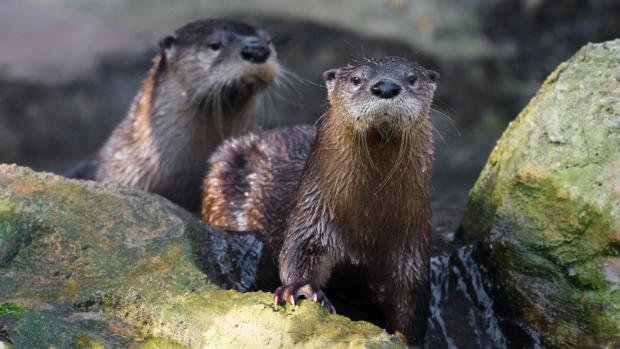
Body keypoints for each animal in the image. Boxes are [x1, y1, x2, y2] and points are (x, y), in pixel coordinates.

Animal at [201, 55, 438, 344]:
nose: (385, 87)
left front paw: (404, 337)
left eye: (412, 79)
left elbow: (411, 298)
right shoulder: (313, 209)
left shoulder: (411, 246)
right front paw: (301, 289)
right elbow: (297, 252)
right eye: (356, 79)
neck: (367, 220)